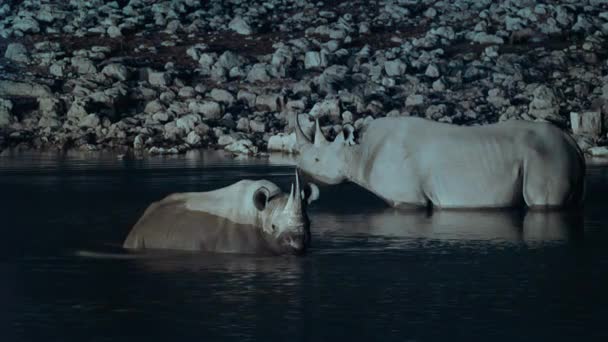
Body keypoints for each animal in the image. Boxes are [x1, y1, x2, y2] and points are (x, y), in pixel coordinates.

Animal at [294, 116, 584, 210]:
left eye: (317, 160)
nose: (300, 171)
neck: (358, 152)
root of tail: (574, 144)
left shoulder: (409, 199)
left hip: (546, 157)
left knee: (541, 201)